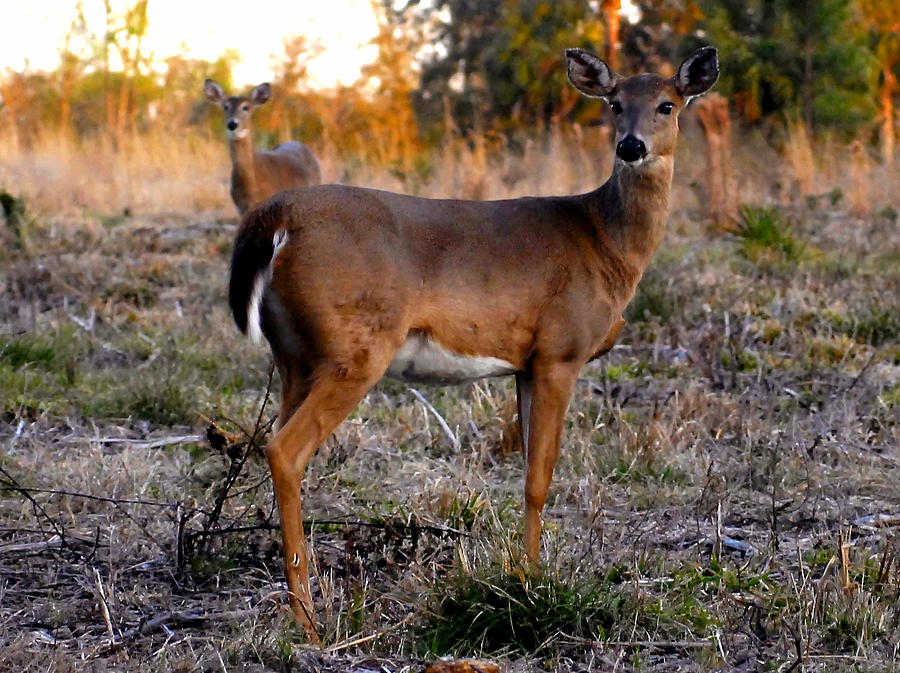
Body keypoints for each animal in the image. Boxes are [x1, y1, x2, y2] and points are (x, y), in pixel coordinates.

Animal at [225, 46, 716, 636]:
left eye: (667, 104)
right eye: (614, 104)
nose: (631, 146)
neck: (605, 242)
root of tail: (276, 217)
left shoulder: (527, 363)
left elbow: (529, 473)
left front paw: (524, 575)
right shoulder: (561, 350)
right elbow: (540, 478)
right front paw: (532, 589)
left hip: (295, 357)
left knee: (274, 436)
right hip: (355, 349)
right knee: (285, 449)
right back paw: (310, 621)